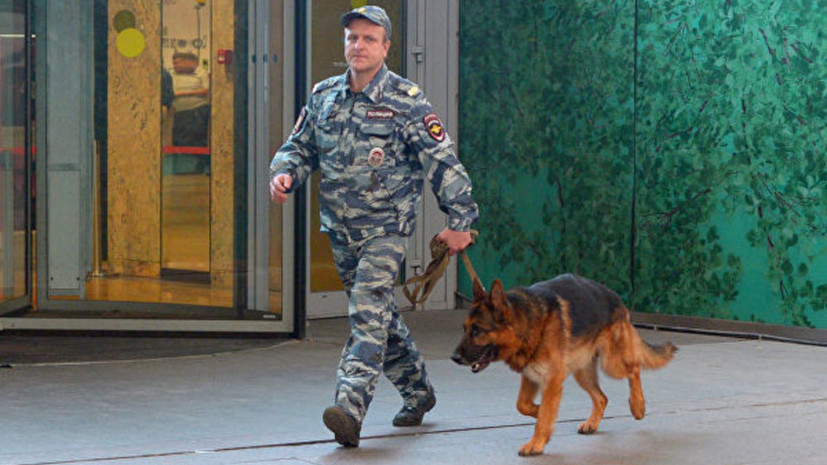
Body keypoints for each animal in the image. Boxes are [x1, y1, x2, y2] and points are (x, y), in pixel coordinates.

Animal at [452, 274, 680, 454]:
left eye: (477, 330)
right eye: (464, 329)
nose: (454, 358)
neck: (527, 325)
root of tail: (616, 298)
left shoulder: (552, 379)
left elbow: (543, 412)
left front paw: (536, 442)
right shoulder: (531, 376)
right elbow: (523, 405)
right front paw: (539, 412)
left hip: (611, 363)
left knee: (634, 368)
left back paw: (637, 406)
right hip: (582, 373)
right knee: (602, 398)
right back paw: (592, 423)